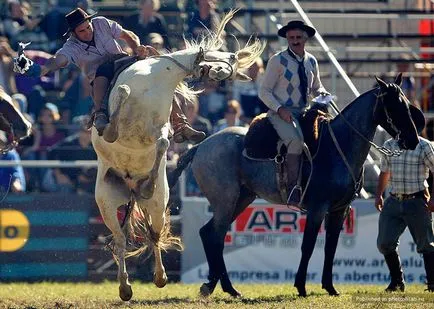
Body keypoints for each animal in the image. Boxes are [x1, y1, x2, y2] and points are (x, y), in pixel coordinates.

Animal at [91, 10, 264, 300]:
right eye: (228, 57)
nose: (222, 72)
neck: (155, 78)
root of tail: (130, 190)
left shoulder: (159, 130)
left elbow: (162, 143)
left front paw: (150, 181)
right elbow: (119, 105)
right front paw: (111, 125)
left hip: (158, 205)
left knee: (152, 234)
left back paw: (158, 277)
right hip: (106, 203)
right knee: (121, 240)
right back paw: (125, 286)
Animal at [169, 74, 420, 296]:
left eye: (407, 105)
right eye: (394, 106)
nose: (413, 139)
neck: (338, 146)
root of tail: (201, 146)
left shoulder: (339, 210)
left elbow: (331, 247)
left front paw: (330, 287)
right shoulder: (318, 208)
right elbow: (308, 245)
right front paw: (301, 286)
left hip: (241, 199)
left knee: (211, 234)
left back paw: (219, 287)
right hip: (225, 201)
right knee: (214, 236)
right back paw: (221, 286)